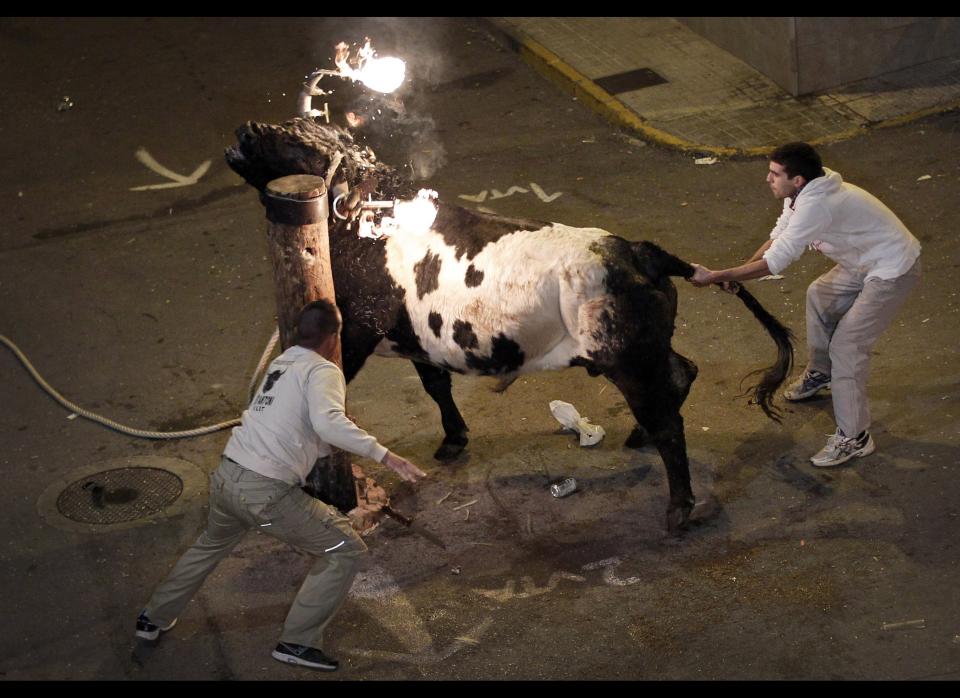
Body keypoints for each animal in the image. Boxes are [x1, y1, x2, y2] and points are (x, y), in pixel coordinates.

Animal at [227, 118, 796, 532]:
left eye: (287, 137)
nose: (245, 129)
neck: (359, 216)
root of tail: (638, 250)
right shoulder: (419, 340)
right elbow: (436, 385)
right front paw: (454, 438)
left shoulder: (357, 330)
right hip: (644, 350)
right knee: (681, 375)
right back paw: (639, 437)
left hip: (628, 356)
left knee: (668, 422)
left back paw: (679, 508)